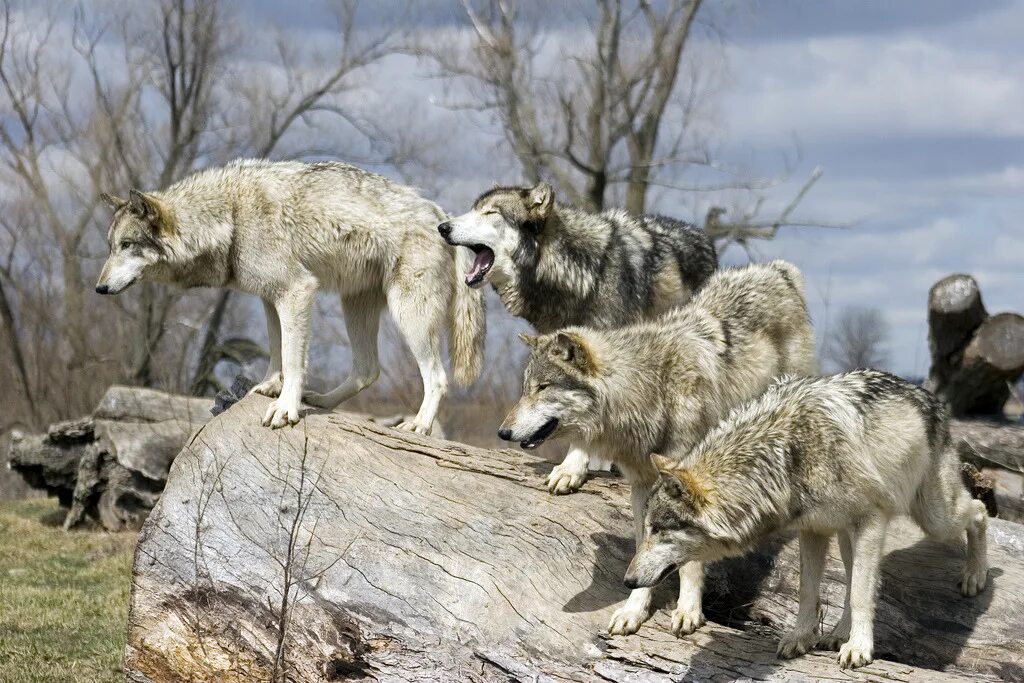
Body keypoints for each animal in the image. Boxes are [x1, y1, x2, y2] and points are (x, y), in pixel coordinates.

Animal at [94, 158, 485, 432]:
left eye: (126, 245)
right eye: (111, 247)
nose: (99, 288)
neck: (229, 217)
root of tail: (442, 216)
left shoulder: (297, 291)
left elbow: (294, 359)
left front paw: (286, 409)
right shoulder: (270, 299)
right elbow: (276, 351)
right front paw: (271, 387)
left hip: (409, 317)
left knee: (437, 378)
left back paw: (419, 425)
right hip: (354, 307)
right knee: (367, 370)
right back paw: (323, 401)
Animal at [436, 181, 716, 491]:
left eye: (490, 213)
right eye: (473, 209)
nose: (443, 227)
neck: (578, 275)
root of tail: (701, 235)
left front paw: (571, 467)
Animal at [495, 264, 815, 643]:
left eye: (542, 388)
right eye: (525, 389)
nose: (503, 432)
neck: (651, 391)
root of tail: (777, 269)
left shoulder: (690, 485)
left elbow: (690, 559)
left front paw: (688, 610)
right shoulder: (641, 487)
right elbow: (643, 547)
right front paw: (634, 609)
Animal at [626, 370, 987, 671]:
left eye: (658, 529)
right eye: (646, 529)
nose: (628, 581)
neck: (787, 455)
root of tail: (929, 396)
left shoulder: (871, 520)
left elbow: (860, 593)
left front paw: (860, 648)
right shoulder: (813, 530)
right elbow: (809, 589)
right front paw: (802, 637)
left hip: (934, 517)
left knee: (979, 510)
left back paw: (976, 576)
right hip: (848, 535)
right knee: (855, 579)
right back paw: (839, 633)